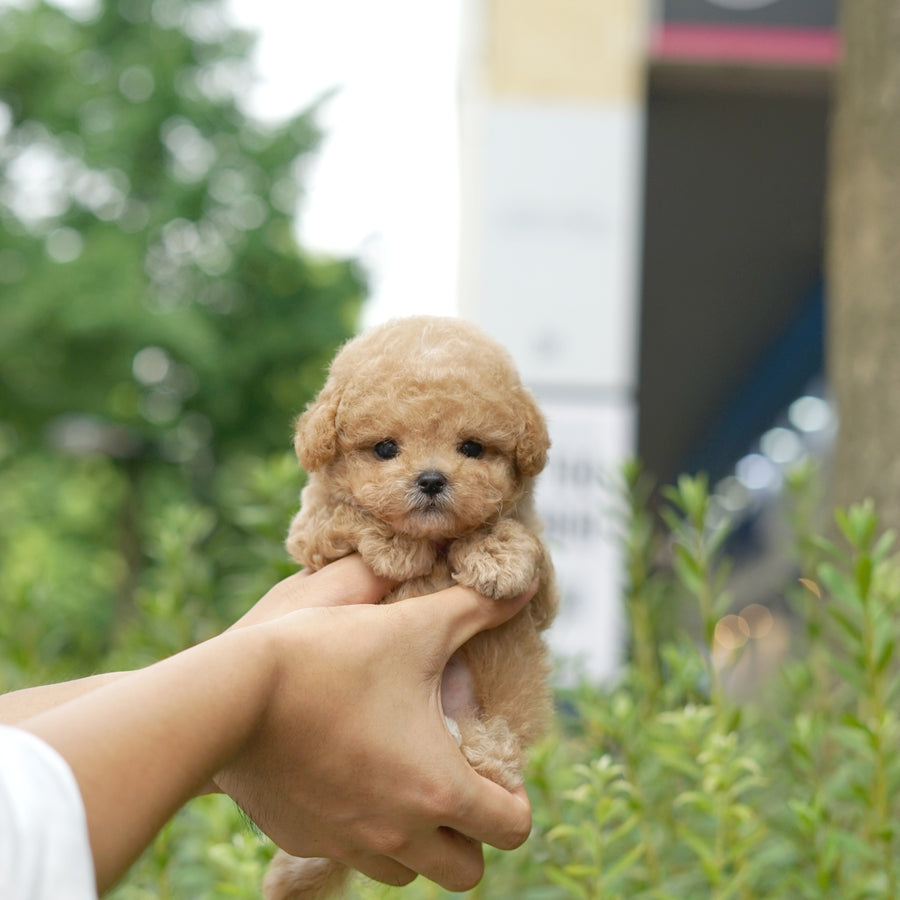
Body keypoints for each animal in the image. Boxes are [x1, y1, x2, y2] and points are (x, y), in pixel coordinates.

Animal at [260, 316, 556, 900]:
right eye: (384, 449)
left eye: (472, 447)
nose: (432, 480)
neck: (436, 540)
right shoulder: (309, 537)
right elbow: (340, 517)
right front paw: (396, 545)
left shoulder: (544, 591)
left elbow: (515, 535)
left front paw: (496, 556)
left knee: (501, 755)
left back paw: (478, 749)